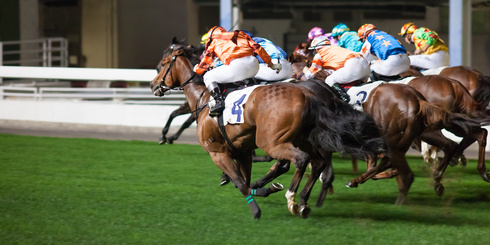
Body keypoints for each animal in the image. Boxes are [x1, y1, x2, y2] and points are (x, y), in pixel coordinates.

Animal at [149, 39, 386, 219]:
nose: (153, 84)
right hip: (304, 138)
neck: (204, 98)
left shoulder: (217, 151)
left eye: (164, 62)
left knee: (297, 160)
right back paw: (304, 200)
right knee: (316, 162)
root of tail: (311, 93)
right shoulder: (242, 149)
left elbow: (240, 182)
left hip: (271, 140)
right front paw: (261, 188)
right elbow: (243, 179)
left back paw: (293, 198)